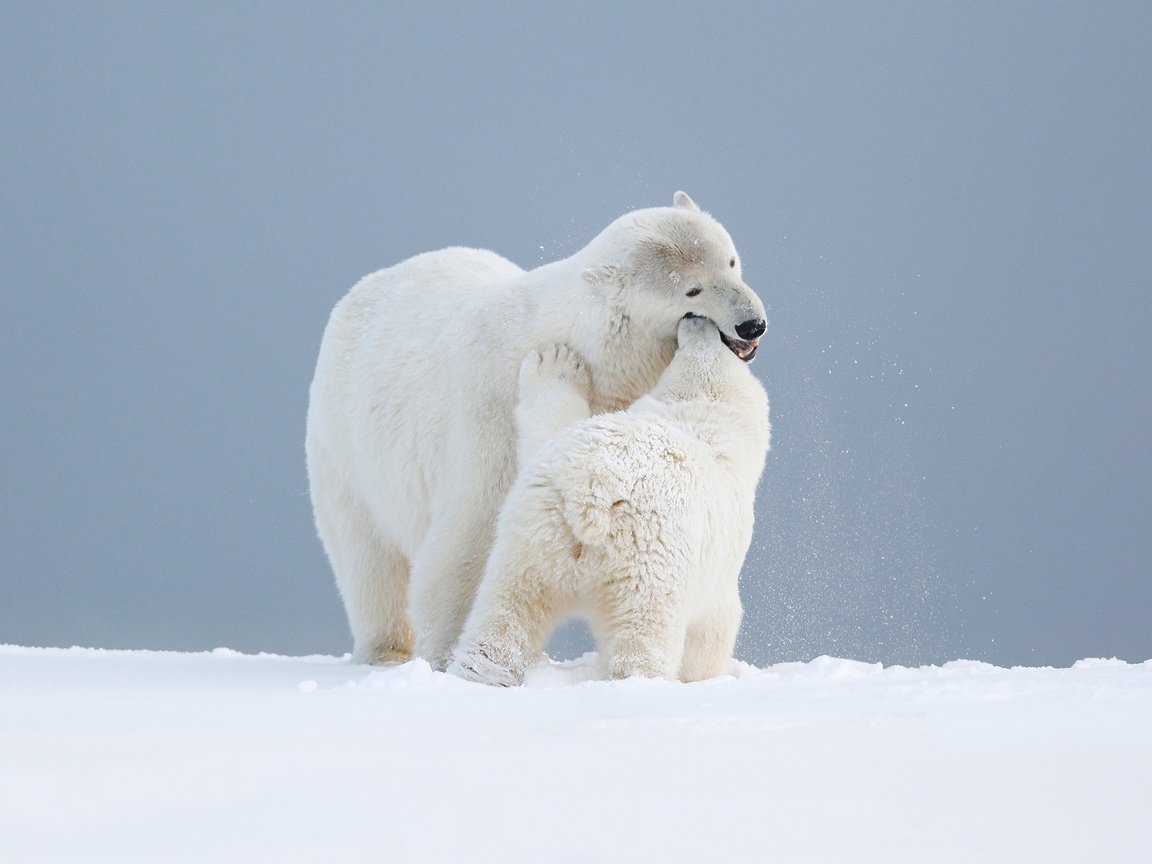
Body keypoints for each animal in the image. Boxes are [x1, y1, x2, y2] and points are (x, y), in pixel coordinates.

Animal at [311, 194, 769, 668]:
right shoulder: (492, 415)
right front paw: (444, 653)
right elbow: (468, 538)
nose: (752, 325)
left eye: (730, 261)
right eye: (691, 289)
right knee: (368, 557)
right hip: (345, 449)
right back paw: (387, 650)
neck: (592, 348)